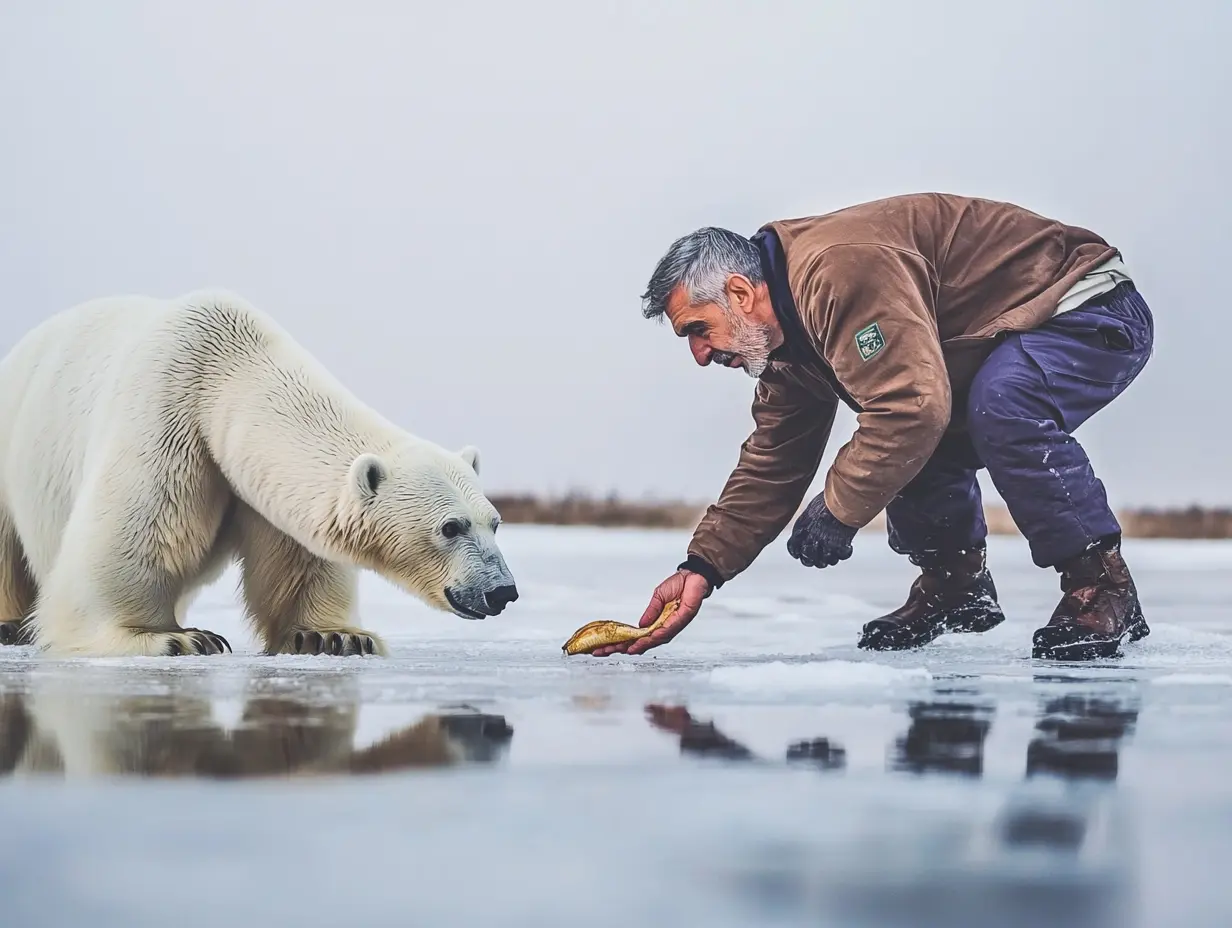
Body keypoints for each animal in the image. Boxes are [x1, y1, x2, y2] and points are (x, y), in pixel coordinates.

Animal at [0, 289, 518, 657]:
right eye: (450, 527)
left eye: (494, 522)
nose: (502, 592)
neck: (224, 367)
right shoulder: (162, 419)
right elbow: (134, 536)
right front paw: (176, 638)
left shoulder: (257, 481)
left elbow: (300, 559)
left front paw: (334, 638)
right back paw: (11, 624)